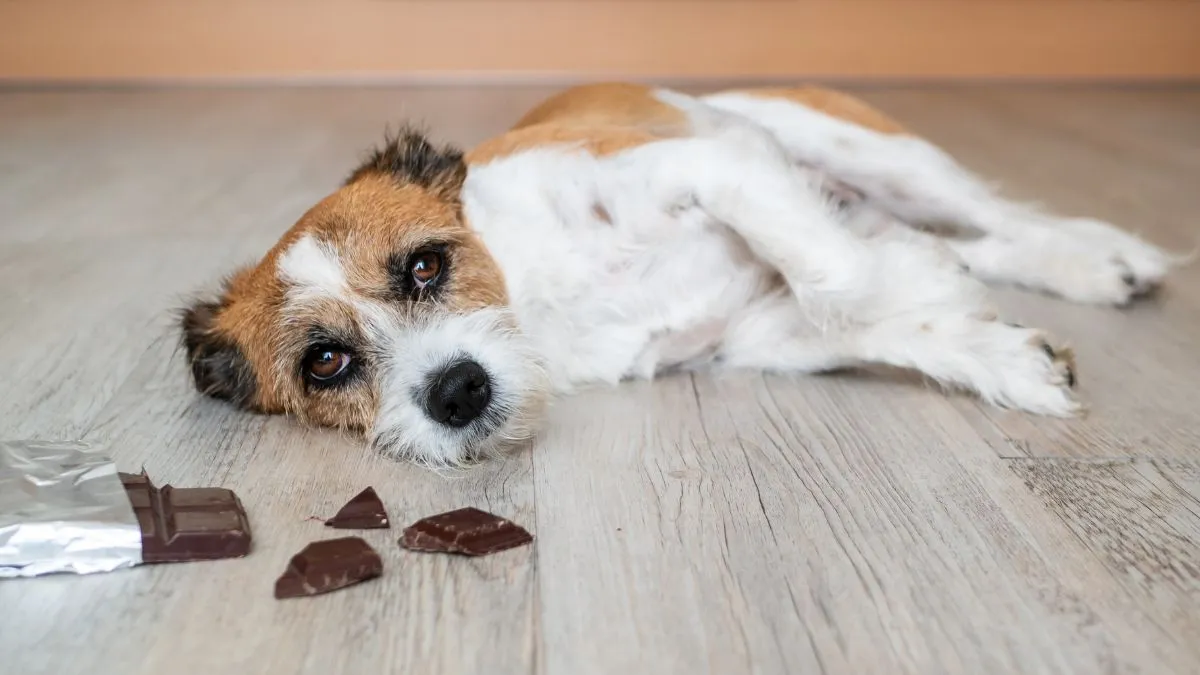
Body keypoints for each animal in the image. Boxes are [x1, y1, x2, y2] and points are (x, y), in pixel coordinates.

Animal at [177, 81, 1180, 466]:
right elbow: (863, 313)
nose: (457, 391)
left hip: (868, 149)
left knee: (998, 217)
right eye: (326, 363)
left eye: (426, 265)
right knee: (973, 241)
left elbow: (838, 277)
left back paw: (1102, 257)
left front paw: (916, 286)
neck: (539, 296)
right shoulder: (753, 334)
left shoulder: (714, 164)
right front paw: (996, 351)